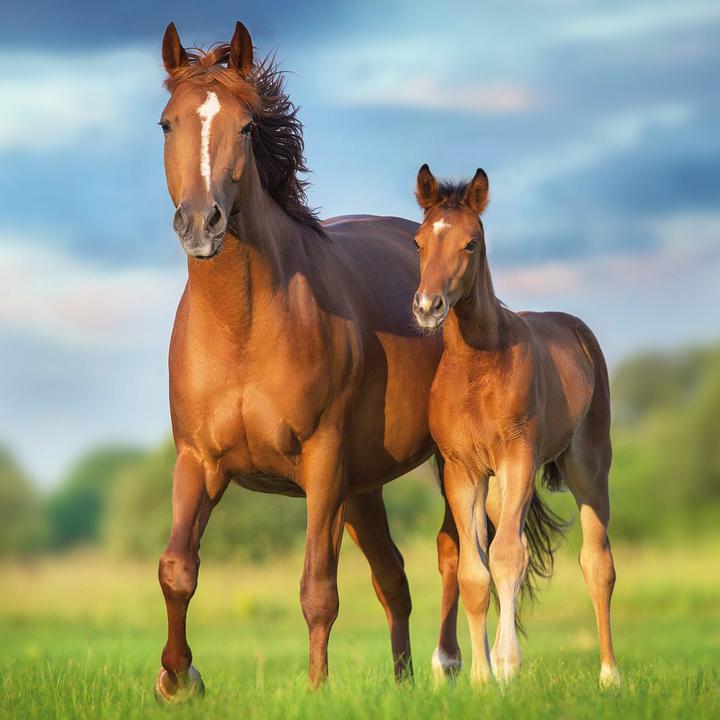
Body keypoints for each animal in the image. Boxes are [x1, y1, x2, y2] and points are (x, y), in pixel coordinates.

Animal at [410, 163, 620, 687]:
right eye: (419, 241)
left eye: (471, 243)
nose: (427, 306)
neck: (476, 367)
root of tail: (577, 330)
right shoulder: (463, 471)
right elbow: (474, 571)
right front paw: (482, 678)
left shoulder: (517, 458)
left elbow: (506, 557)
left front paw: (506, 667)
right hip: (501, 490)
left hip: (587, 468)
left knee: (597, 563)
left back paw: (610, 675)